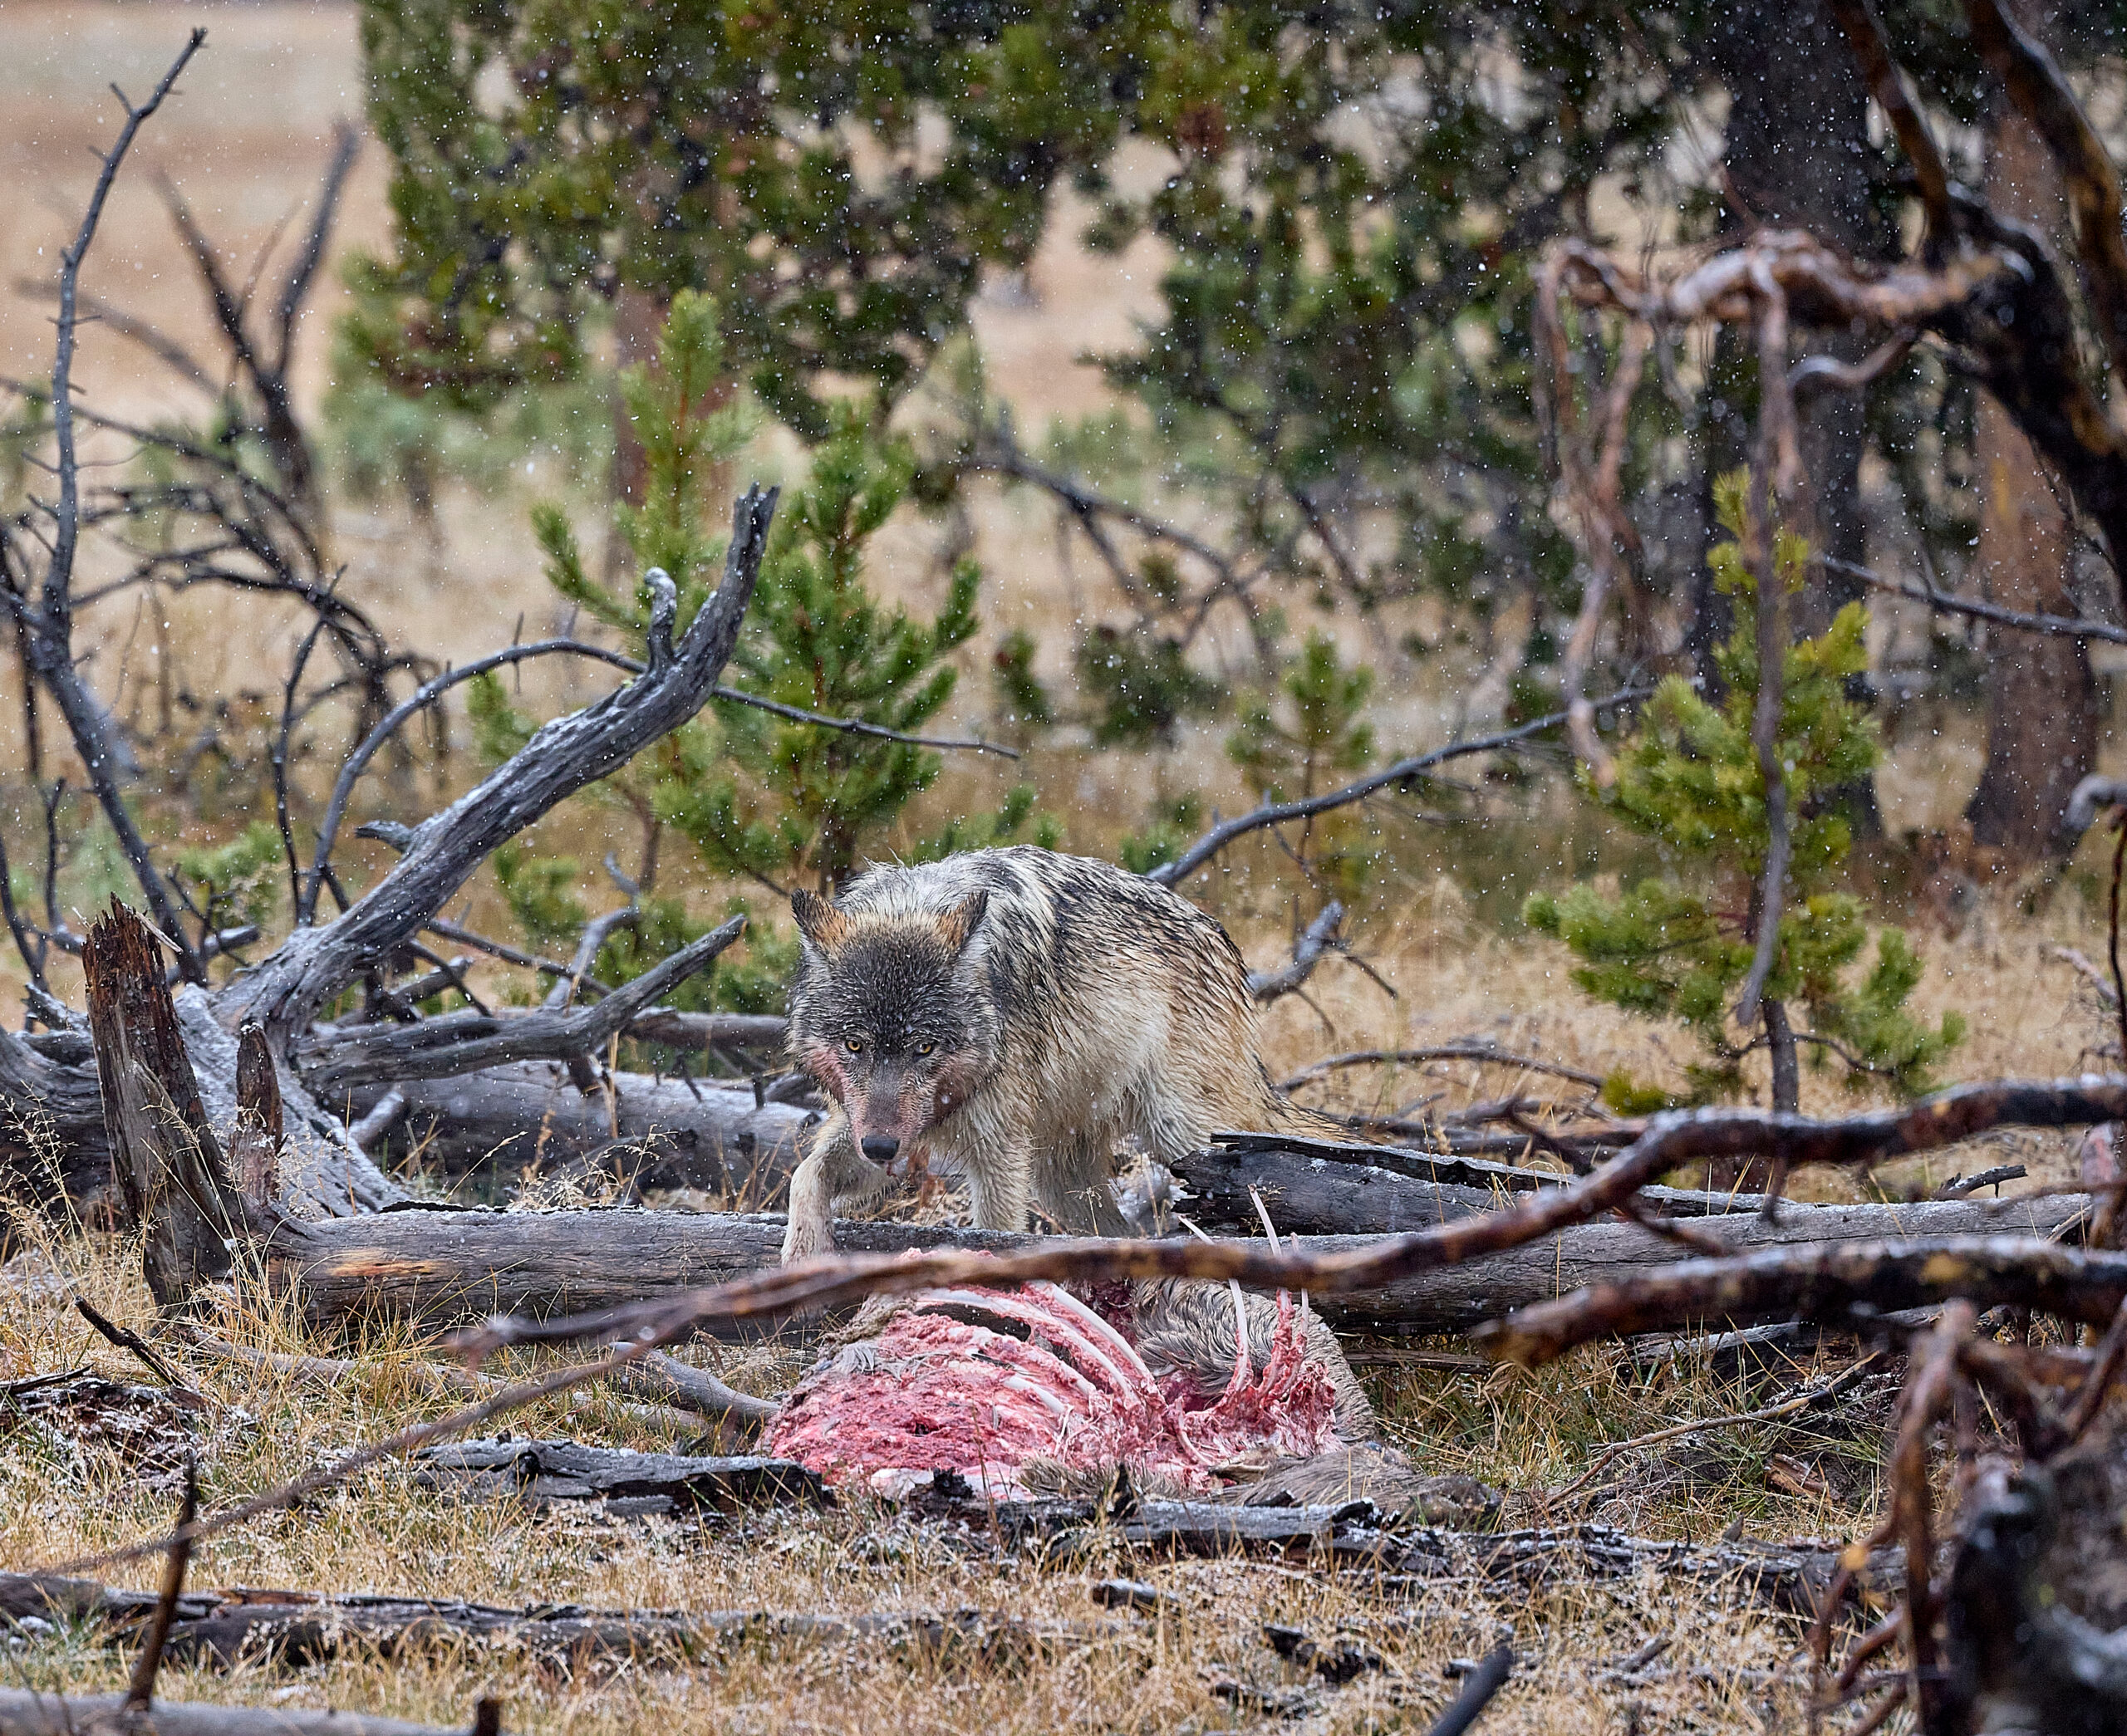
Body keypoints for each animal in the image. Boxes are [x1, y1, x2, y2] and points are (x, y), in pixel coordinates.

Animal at [779, 846, 1335, 1262]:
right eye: (855, 1045)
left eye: (924, 1047)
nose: (880, 1148)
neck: (912, 905)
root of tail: (1227, 946)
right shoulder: (874, 1126)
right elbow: (806, 1177)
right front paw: (802, 1252)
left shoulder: (998, 1150)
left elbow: (995, 1233)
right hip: (1060, 1179)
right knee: (1120, 1235)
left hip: (1183, 1138)